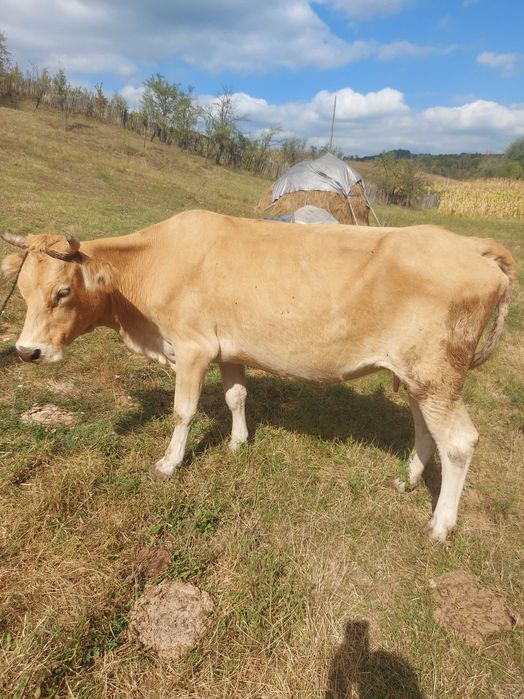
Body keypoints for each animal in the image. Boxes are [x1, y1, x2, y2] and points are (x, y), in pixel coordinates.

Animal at [1, 210, 516, 541]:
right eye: (22, 289)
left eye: (62, 292)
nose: (27, 351)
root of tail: (473, 246)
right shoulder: (228, 347)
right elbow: (236, 396)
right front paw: (237, 442)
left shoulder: (193, 347)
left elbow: (183, 411)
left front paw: (169, 463)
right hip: (417, 377)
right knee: (425, 429)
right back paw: (407, 481)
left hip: (437, 375)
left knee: (459, 442)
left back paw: (441, 525)